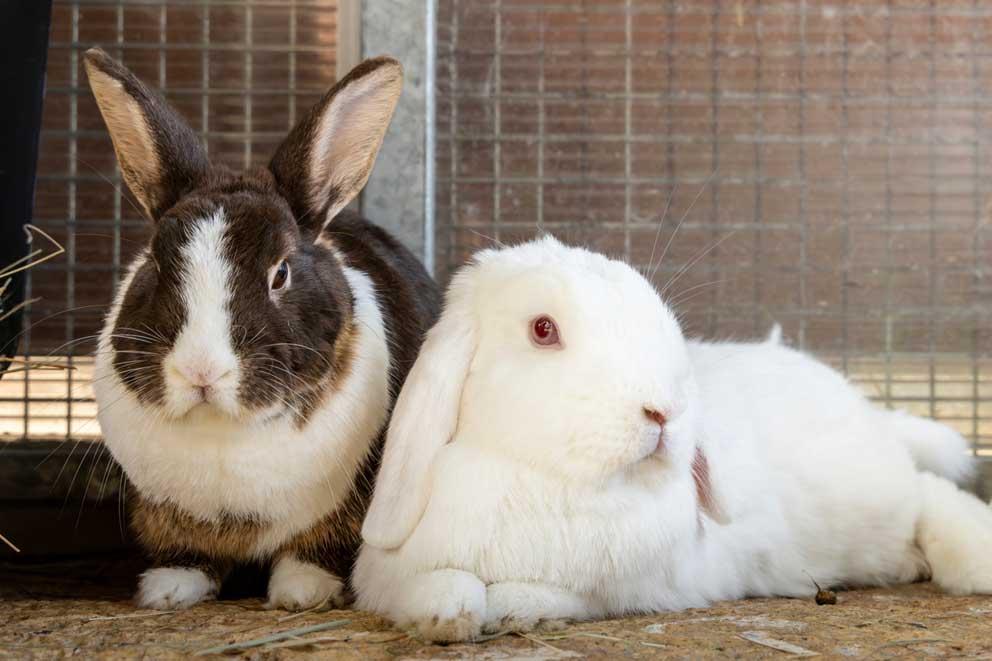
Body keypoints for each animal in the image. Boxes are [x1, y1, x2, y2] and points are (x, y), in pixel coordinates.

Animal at [83, 49, 440, 612]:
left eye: (281, 273)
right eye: (156, 265)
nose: (201, 371)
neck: (223, 431)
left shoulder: (352, 507)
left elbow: (319, 549)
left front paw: (303, 592)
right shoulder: (163, 512)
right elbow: (186, 552)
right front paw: (169, 589)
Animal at [354, 236, 992, 640]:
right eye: (542, 329)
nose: (663, 411)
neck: (549, 479)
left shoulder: (625, 585)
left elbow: (547, 593)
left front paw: (511, 608)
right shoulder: (395, 579)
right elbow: (439, 586)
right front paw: (450, 617)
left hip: (881, 494)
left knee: (930, 493)